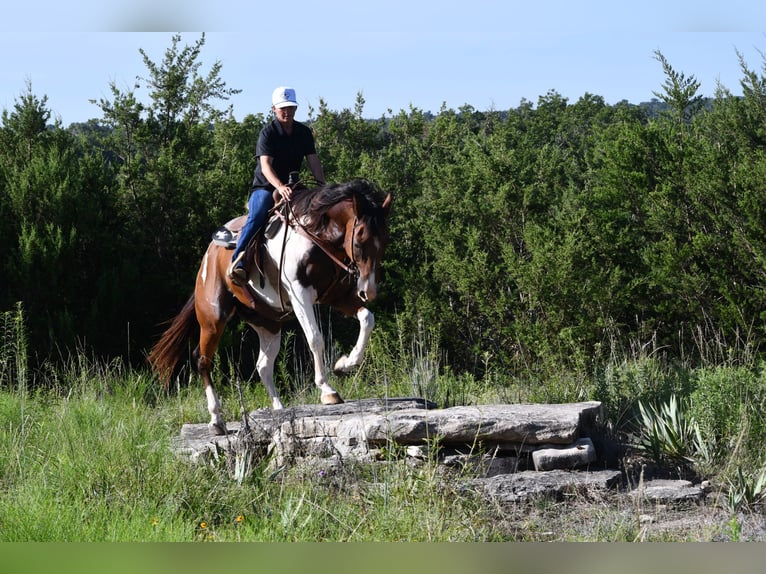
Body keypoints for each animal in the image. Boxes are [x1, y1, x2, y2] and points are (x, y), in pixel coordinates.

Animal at [147, 179, 392, 435]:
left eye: (385, 240)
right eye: (360, 240)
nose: (369, 291)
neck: (317, 237)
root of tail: (208, 256)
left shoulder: (338, 296)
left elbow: (368, 319)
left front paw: (345, 364)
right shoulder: (300, 293)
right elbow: (315, 338)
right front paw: (327, 389)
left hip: (268, 324)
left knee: (263, 366)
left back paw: (278, 409)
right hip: (213, 318)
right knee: (202, 359)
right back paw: (216, 419)